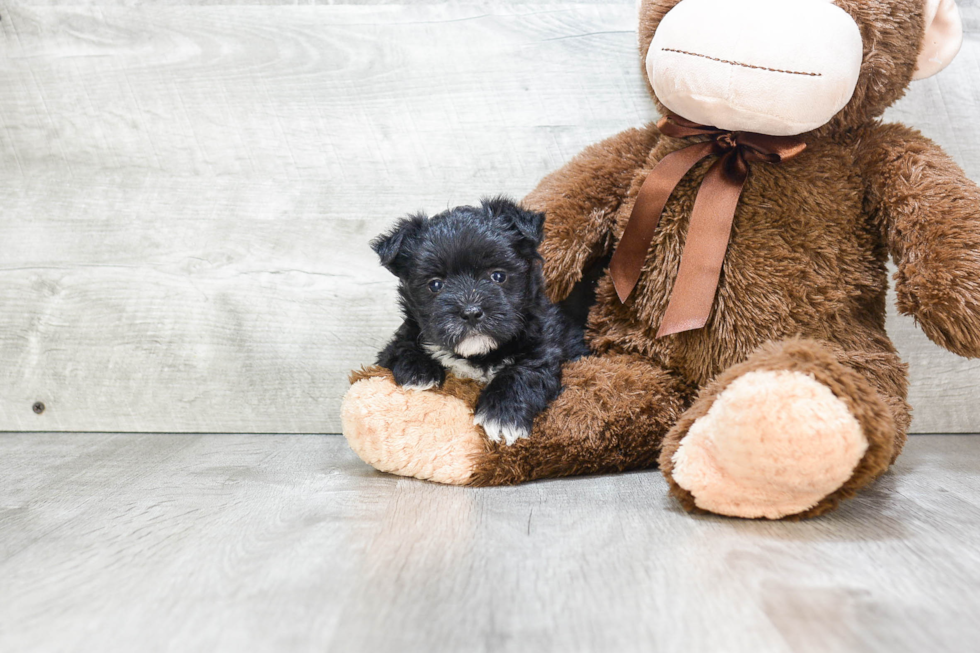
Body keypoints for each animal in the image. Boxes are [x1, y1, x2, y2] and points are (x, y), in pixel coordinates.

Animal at [372, 196, 588, 446]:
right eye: (435, 284)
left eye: (498, 276)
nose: (471, 312)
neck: (477, 354)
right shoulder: (399, 340)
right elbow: (401, 345)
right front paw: (418, 373)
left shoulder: (543, 346)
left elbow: (524, 371)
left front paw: (503, 415)